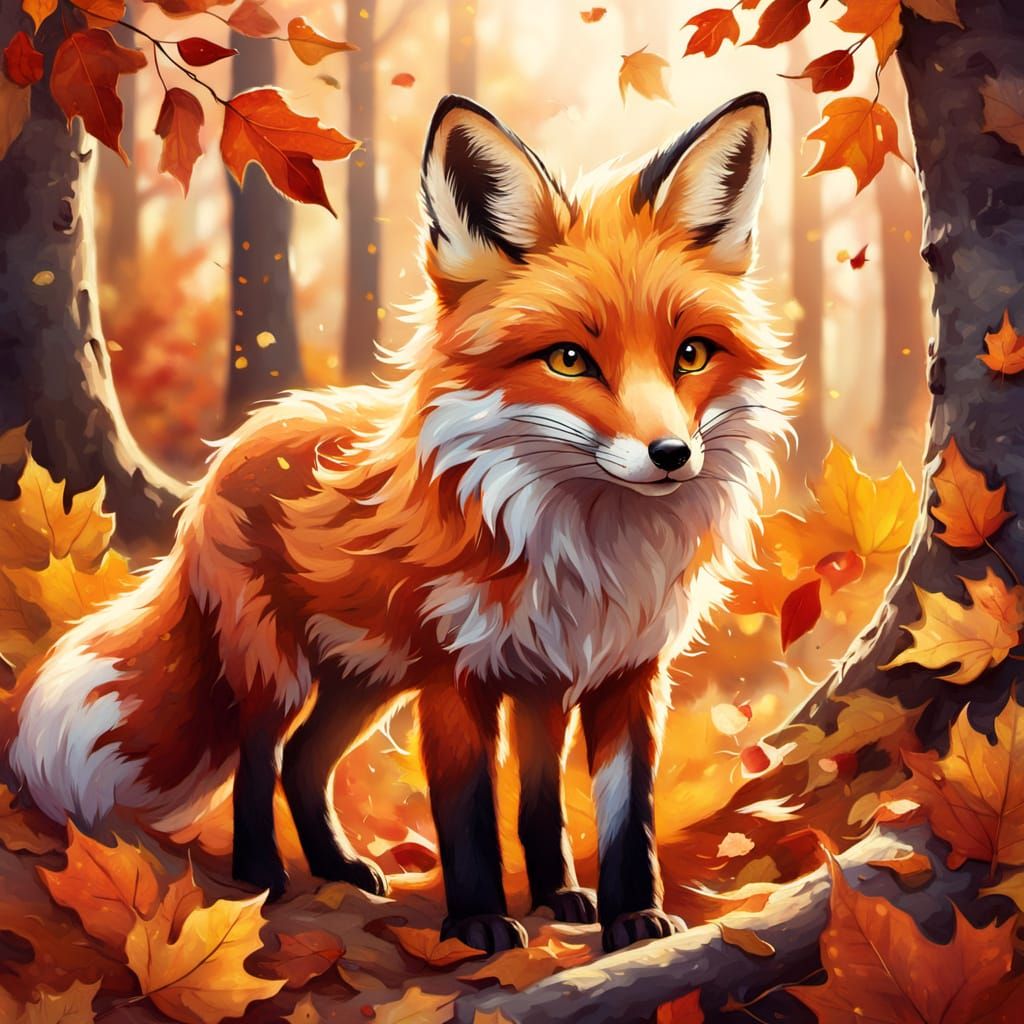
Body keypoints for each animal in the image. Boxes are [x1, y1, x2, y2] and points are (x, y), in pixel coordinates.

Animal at [4, 92, 796, 953]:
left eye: (691, 355)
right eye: (569, 360)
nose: (672, 455)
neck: (583, 552)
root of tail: (237, 441)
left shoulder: (607, 677)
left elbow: (597, 813)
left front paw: (611, 911)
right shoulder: (459, 677)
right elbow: (468, 813)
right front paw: (480, 920)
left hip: (367, 679)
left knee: (304, 762)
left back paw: (341, 868)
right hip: (279, 669)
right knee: (259, 761)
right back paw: (262, 879)